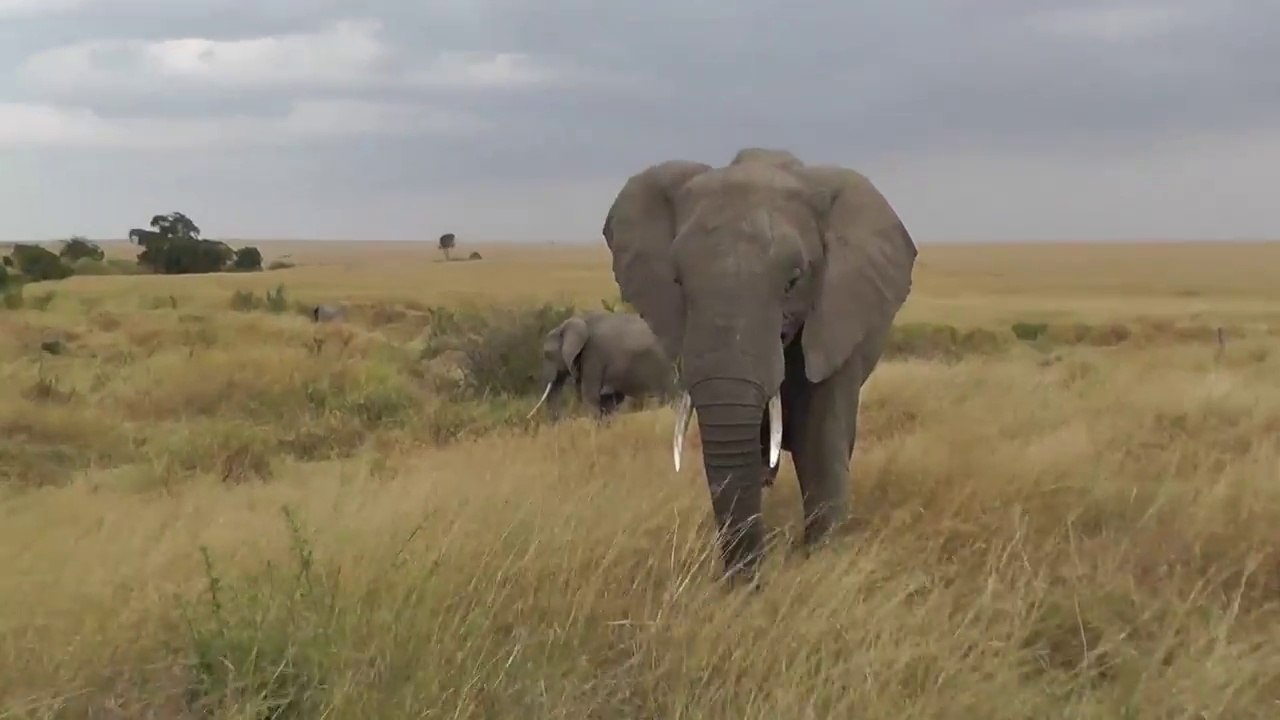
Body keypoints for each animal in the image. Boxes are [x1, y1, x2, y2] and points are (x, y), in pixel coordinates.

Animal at [600, 147, 917, 584]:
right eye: (678, 282)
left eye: (793, 282)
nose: (747, 583)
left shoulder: (836, 315)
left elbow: (819, 441)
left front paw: (819, 562)